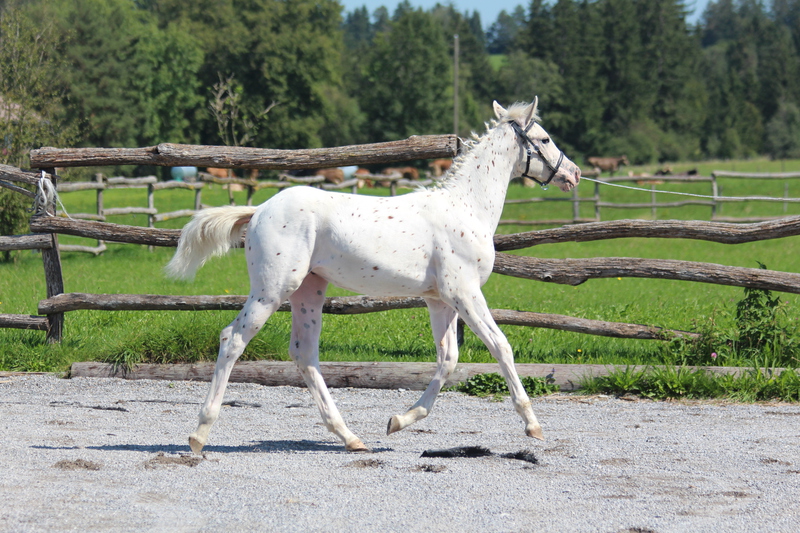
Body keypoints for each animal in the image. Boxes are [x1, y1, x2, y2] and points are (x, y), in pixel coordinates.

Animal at [166, 98, 581, 454]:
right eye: (545, 138)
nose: (574, 173)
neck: (466, 208)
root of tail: (258, 211)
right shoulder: (464, 293)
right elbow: (500, 346)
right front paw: (533, 425)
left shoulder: (439, 300)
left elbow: (448, 359)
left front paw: (399, 420)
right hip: (272, 290)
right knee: (233, 340)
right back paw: (199, 435)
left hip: (309, 291)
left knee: (305, 354)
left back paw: (350, 437)